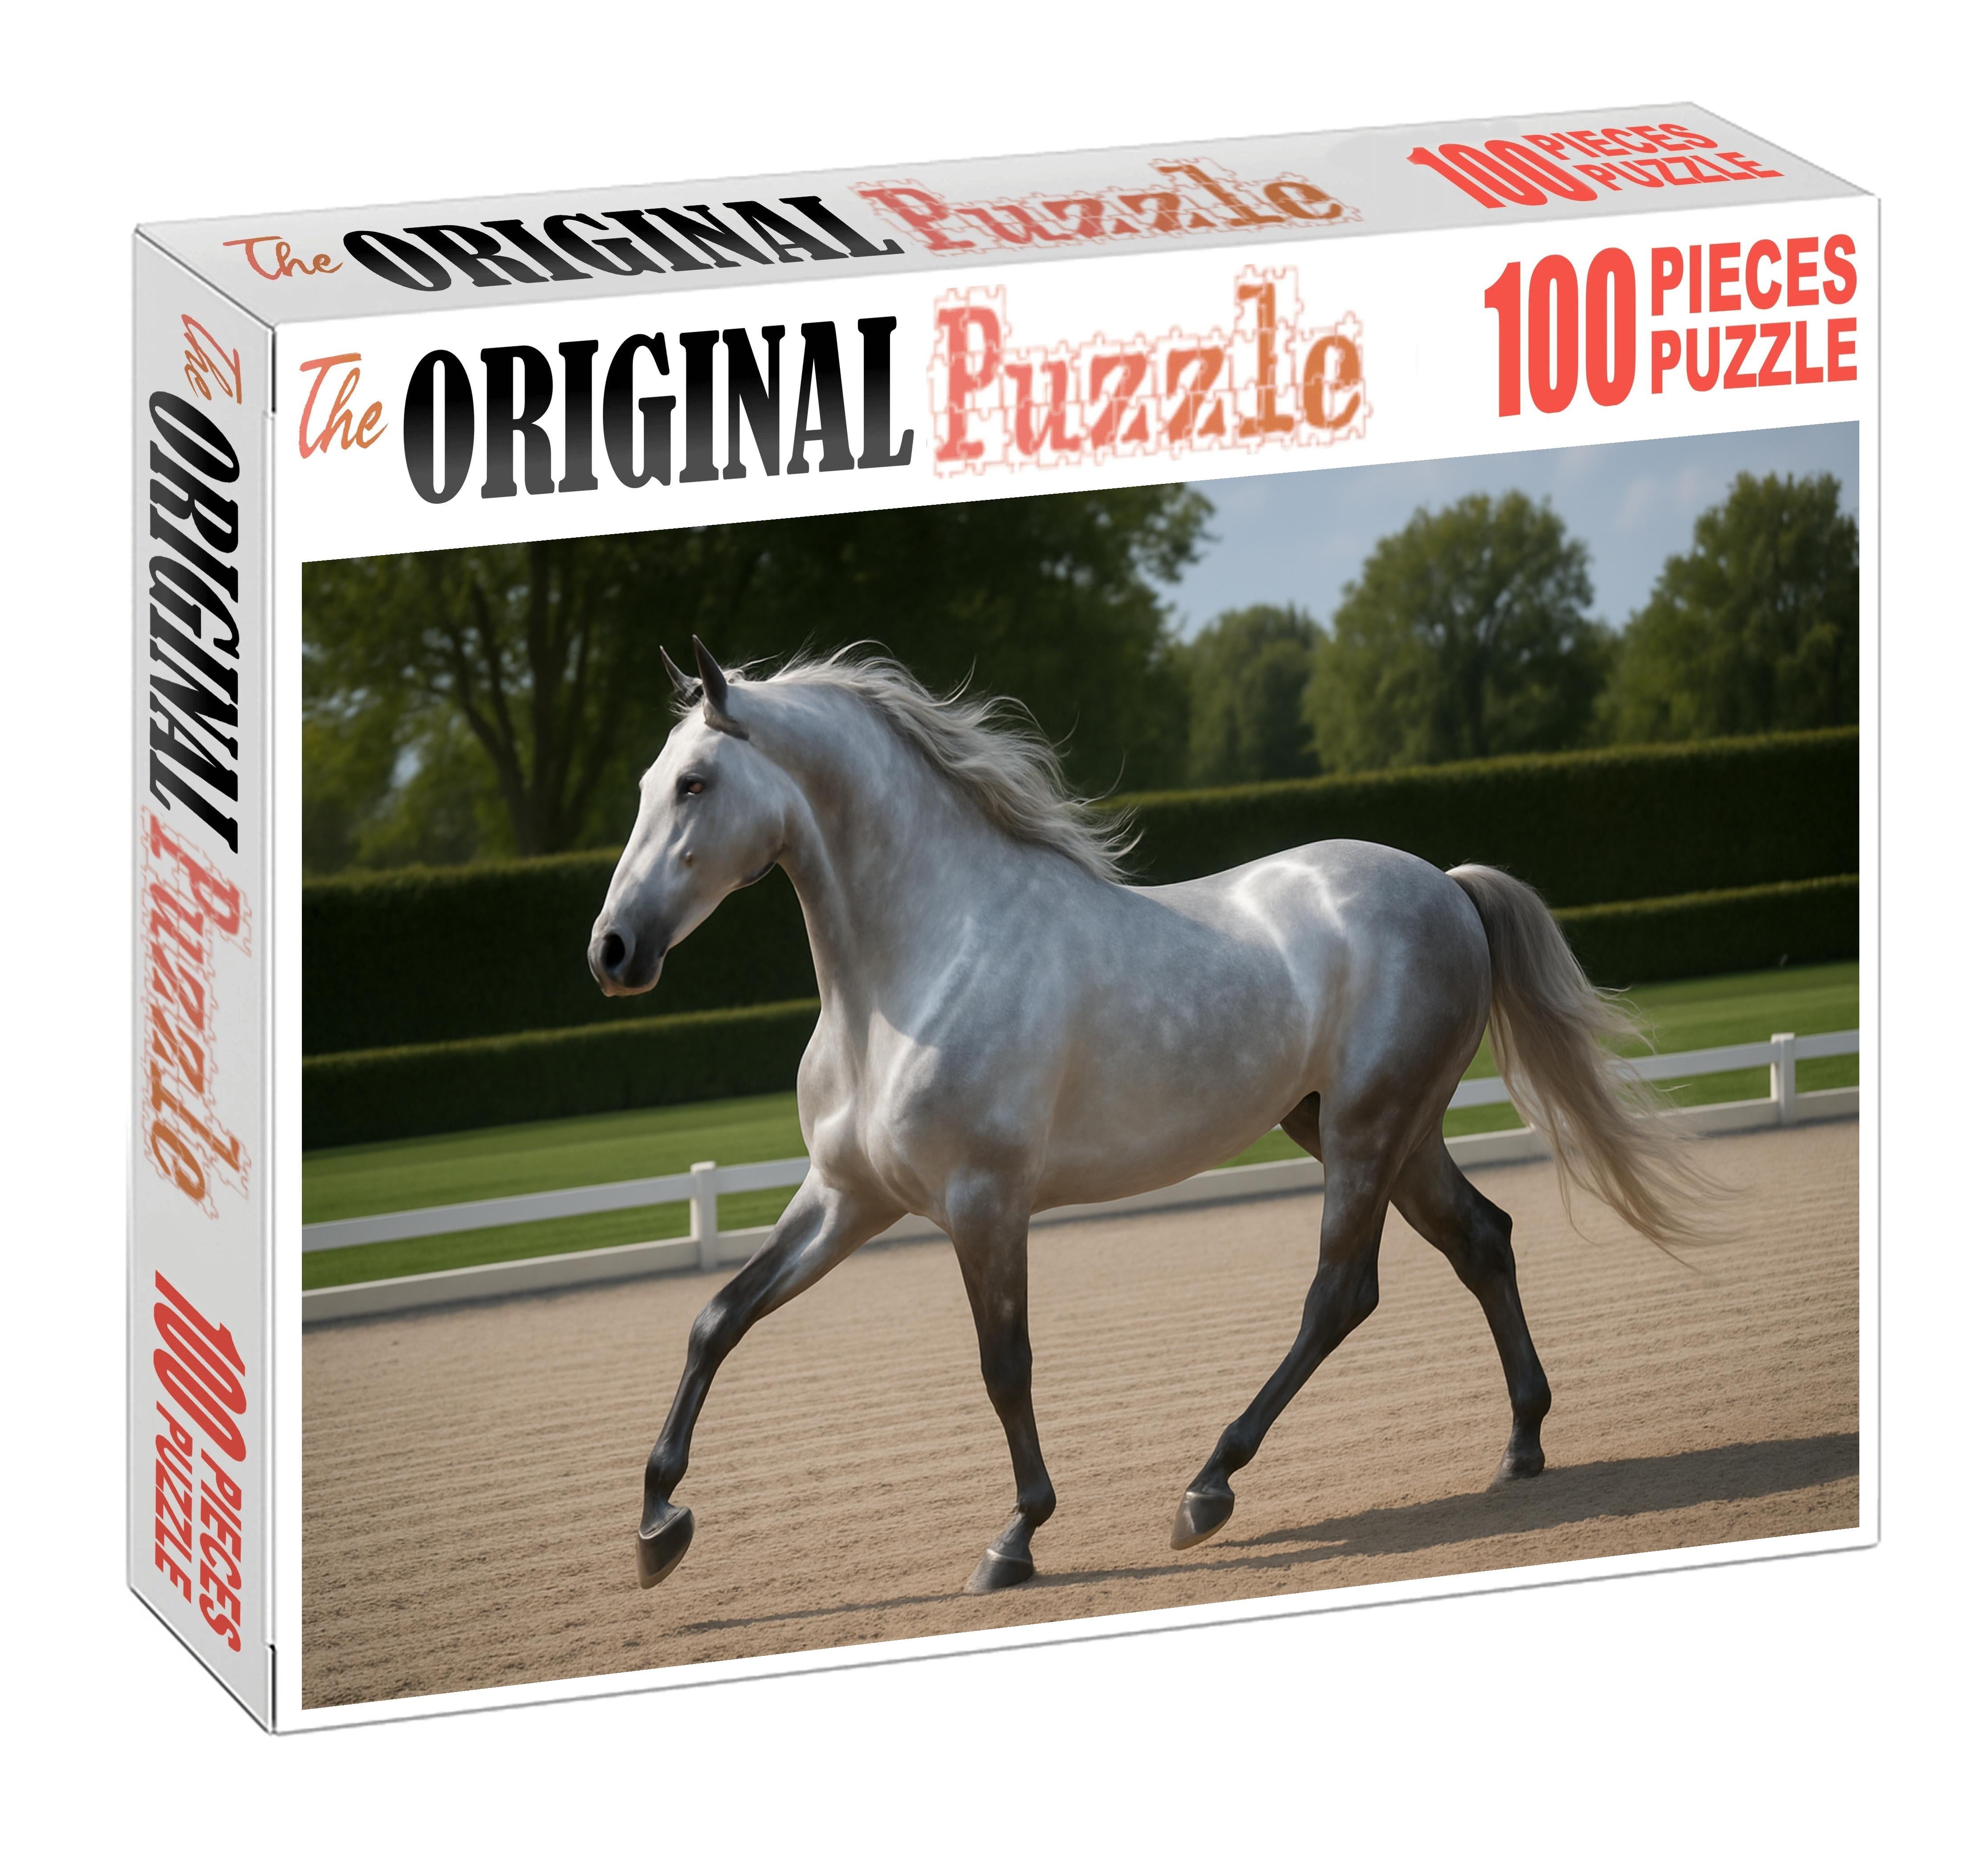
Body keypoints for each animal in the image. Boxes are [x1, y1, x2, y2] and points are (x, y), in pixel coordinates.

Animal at [588, 640, 1701, 1595]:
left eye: (695, 783)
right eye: (642, 782)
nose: (612, 950)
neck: (923, 968)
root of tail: (1448, 886)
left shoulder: (983, 1202)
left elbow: (1004, 1366)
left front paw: (1015, 1540)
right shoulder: (847, 1198)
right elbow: (717, 1319)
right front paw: (656, 1528)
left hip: (1368, 1128)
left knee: (1341, 1293)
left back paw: (1209, 1487)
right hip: (1380, 1127)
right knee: (1481, 1240)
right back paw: (1520, 1445)